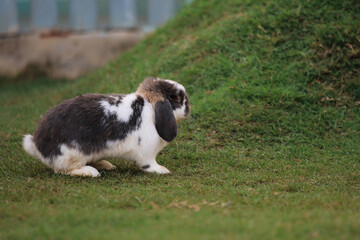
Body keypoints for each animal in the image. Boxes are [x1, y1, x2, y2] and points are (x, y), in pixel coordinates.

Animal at [22, 78, 190, 177]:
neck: (150, 108)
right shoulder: (147, 152)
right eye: (175, 97)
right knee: (63, 170)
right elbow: (148, 164)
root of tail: (36, 144)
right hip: (71, 154)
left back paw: (105, 165)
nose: (188, 109)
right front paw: (162, 170)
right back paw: (90, 172)